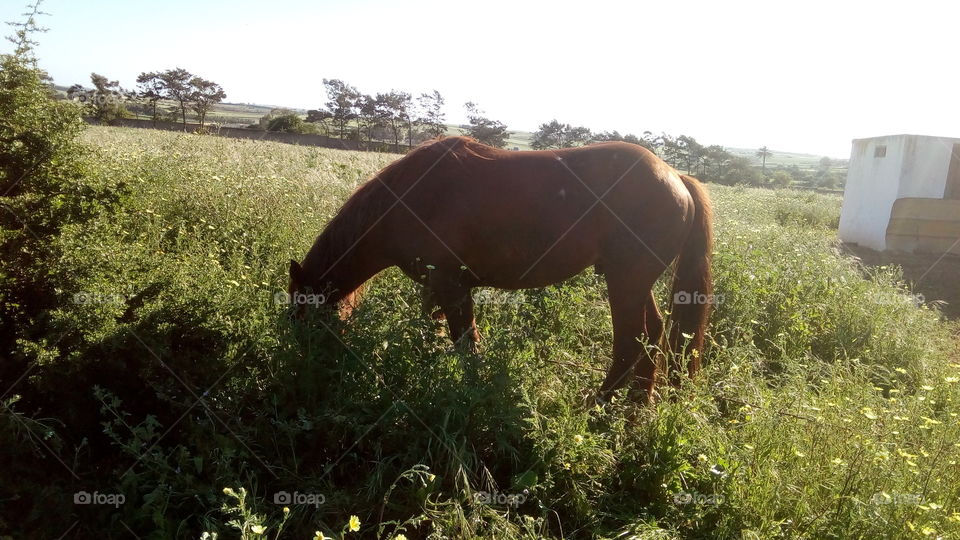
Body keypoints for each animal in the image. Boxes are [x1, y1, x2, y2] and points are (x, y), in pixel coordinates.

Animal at [289, 136, 713, 401]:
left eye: (302, 316)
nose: (303, 370)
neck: (408, 198)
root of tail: (676, 177)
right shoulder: (435, 285)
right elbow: (433, 328)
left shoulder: (451, 284)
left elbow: (466, 342)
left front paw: (470, 391)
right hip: (634, 283)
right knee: (653, 337)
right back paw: (635, 410)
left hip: (625, 282)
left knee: (630, 343)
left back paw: (595, 407)